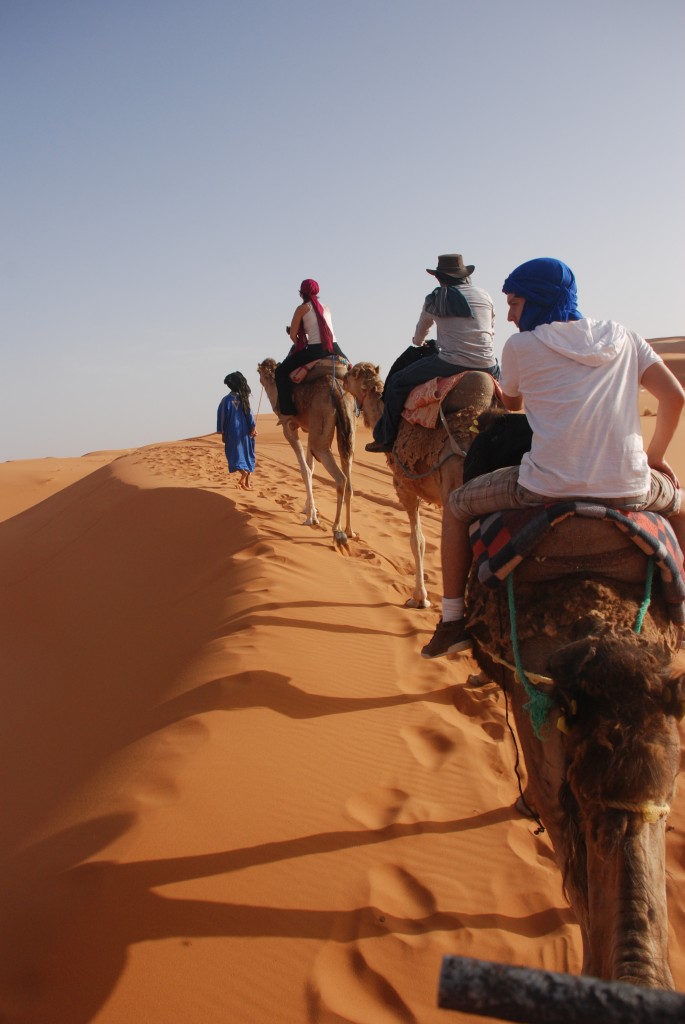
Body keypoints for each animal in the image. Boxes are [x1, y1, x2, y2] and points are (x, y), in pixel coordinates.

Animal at [254, 358, 356, 544]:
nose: (263, 380)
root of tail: (337, 390)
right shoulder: (309, 428)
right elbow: (311, 466)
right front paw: (308, 509)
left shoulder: (289, 426)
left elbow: (305, 469)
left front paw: (311, 518)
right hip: (348, 427)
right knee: (348, 473)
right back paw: (350, 530)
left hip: (321, 427)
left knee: (340, 477)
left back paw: (336, 529)